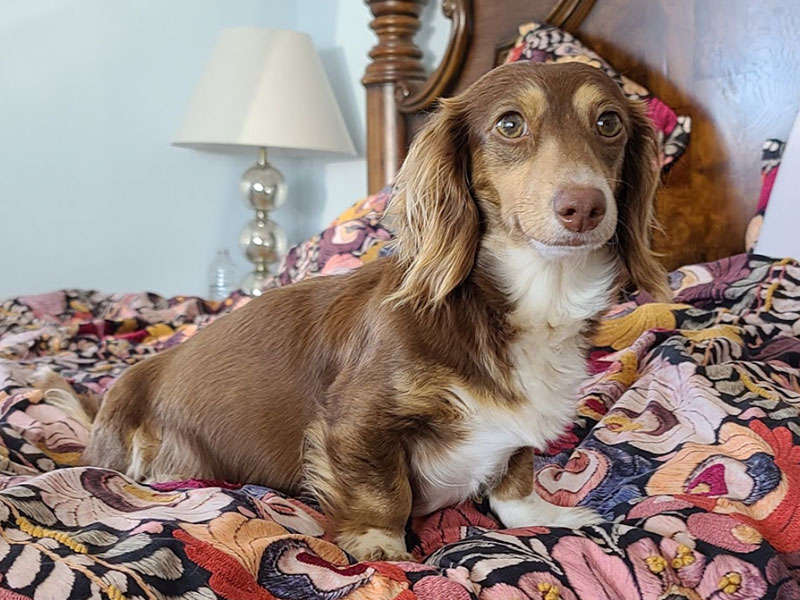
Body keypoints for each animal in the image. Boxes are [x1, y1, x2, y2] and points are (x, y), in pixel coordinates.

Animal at [50, 62, 664, 564]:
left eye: (609, 122)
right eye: (510, 124)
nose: (584, 206)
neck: (534, 297)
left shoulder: (518, 430)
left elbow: (515, 476)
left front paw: (543, 515)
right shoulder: (354, 421)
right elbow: (381, 491)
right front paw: (380, 546)